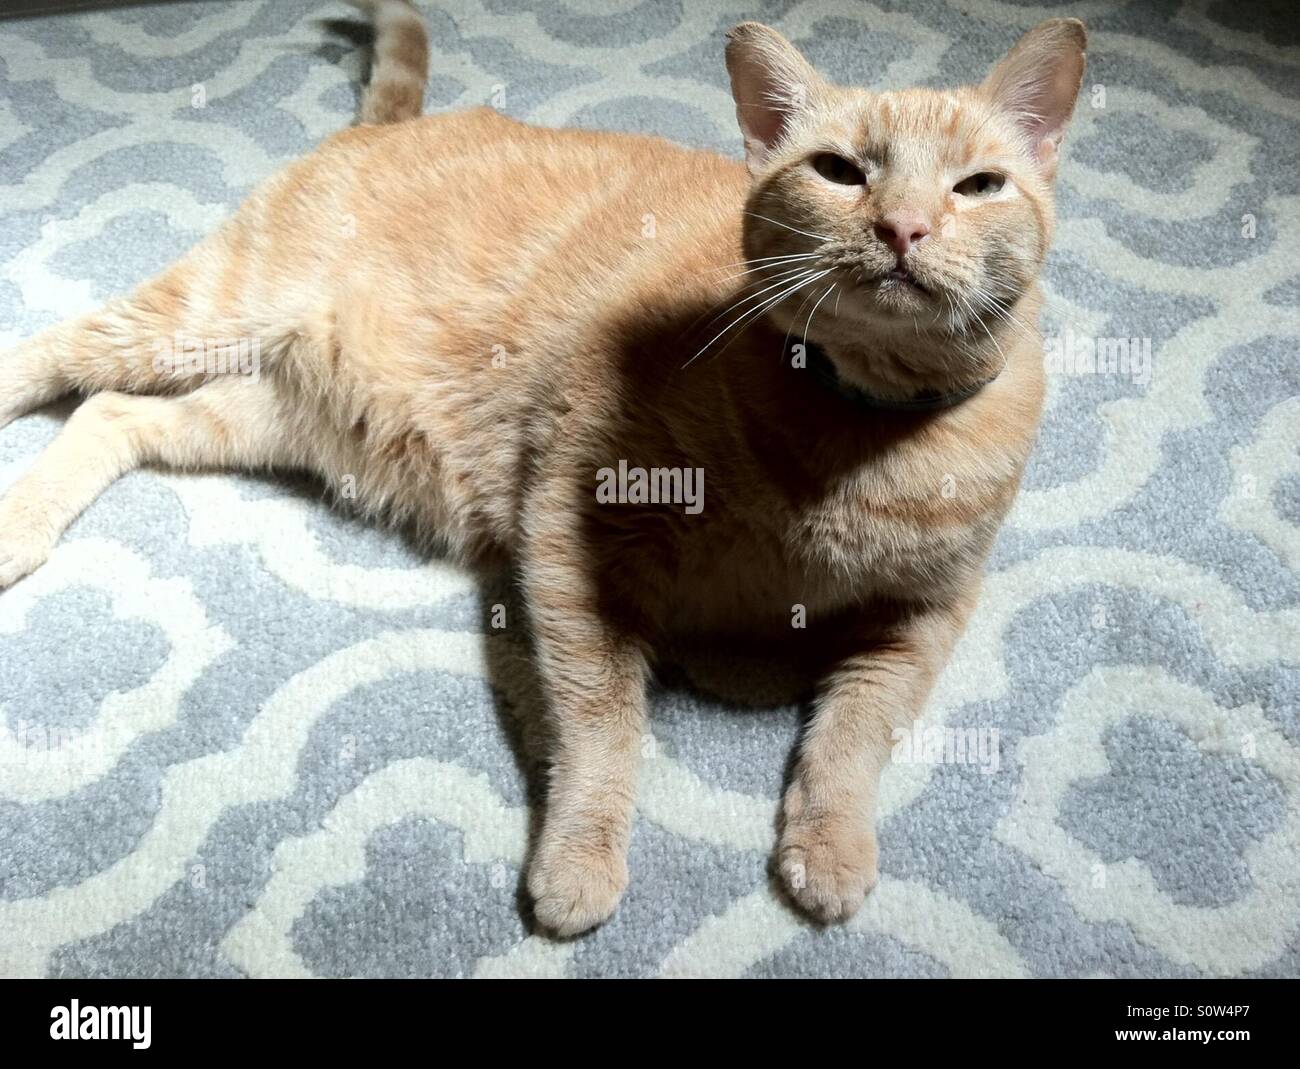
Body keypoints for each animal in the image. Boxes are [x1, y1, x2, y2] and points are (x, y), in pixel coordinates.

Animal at [0, 0, 1086, 936]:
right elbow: (601, 724)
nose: (904, 228)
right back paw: (14, 515)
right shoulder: (575, 536)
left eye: (977, 186)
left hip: (264, 410)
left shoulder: (926, 614)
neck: (854, 434)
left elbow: (856, 733)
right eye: (839, 169)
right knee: (55, 355)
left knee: (114, 415)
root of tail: (394, 125)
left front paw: (830, 845)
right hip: (202, 316)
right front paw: (579, 858)